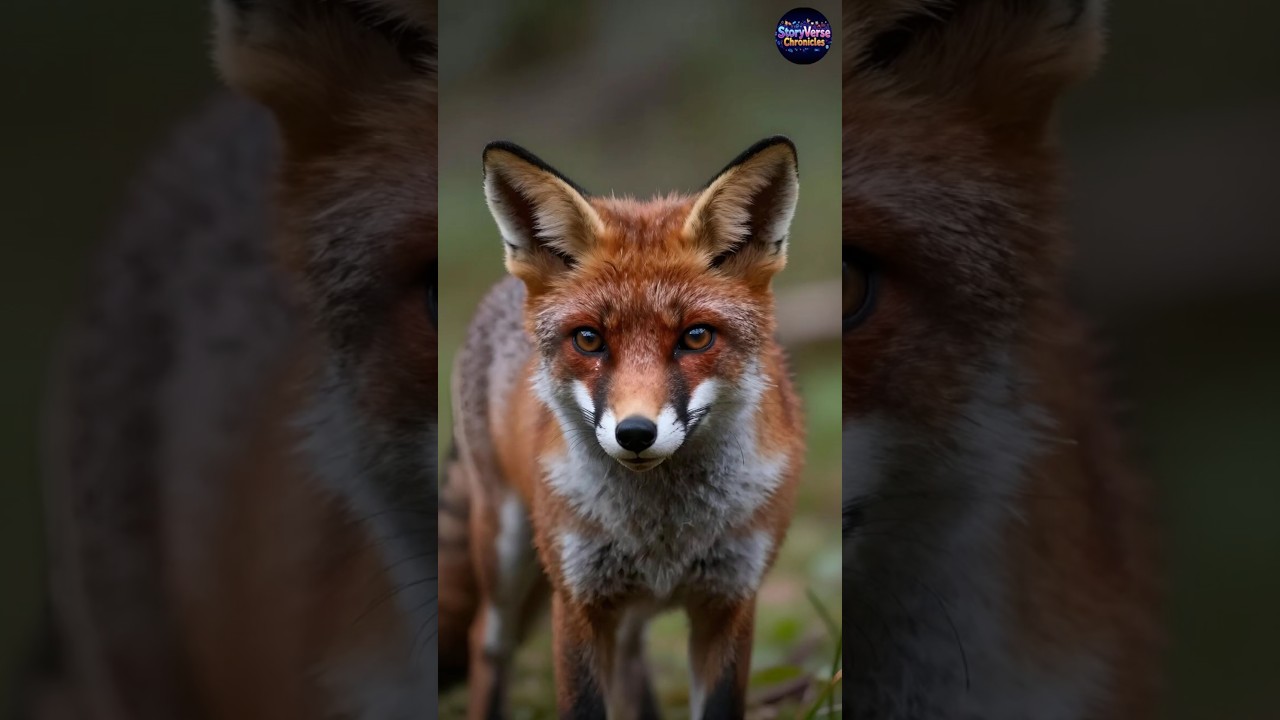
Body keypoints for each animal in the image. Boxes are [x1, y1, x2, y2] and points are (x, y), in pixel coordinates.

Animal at [441, 138, 807, 719]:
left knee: (633, 659)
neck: (662, 535)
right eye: (589, 340)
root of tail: (499, 289)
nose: (635, 433)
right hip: (504, 551)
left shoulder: (730, 601)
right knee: (487, 641)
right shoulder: (578, 601)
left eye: (696, 337)